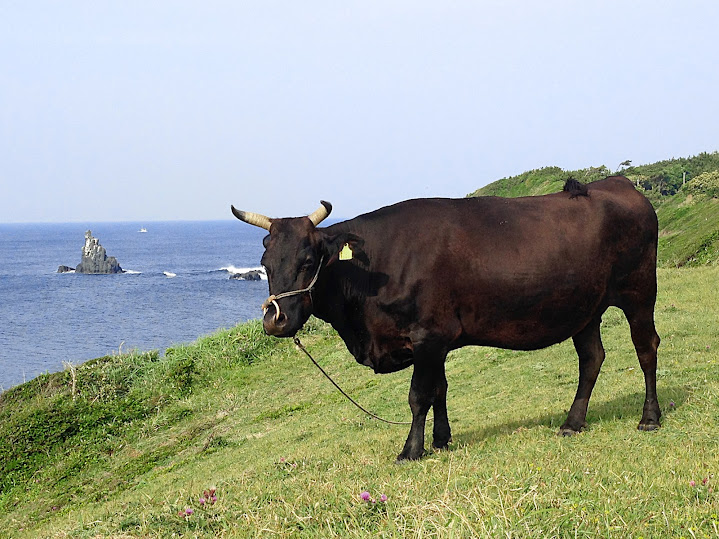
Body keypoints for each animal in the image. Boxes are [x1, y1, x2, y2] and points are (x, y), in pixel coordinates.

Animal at [233, 176, 660, 460]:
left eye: (308, 261)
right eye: (265, 262)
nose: (275, 320)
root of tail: (619, 183)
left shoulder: (428, 335)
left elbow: (418, 395)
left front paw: (411, 450)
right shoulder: (437, 342)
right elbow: (440, 389)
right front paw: (441, 440)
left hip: (640, 293)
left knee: (646, 349)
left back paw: (650, 418)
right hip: (584, 309)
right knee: (591, 359)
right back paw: (572, 423)